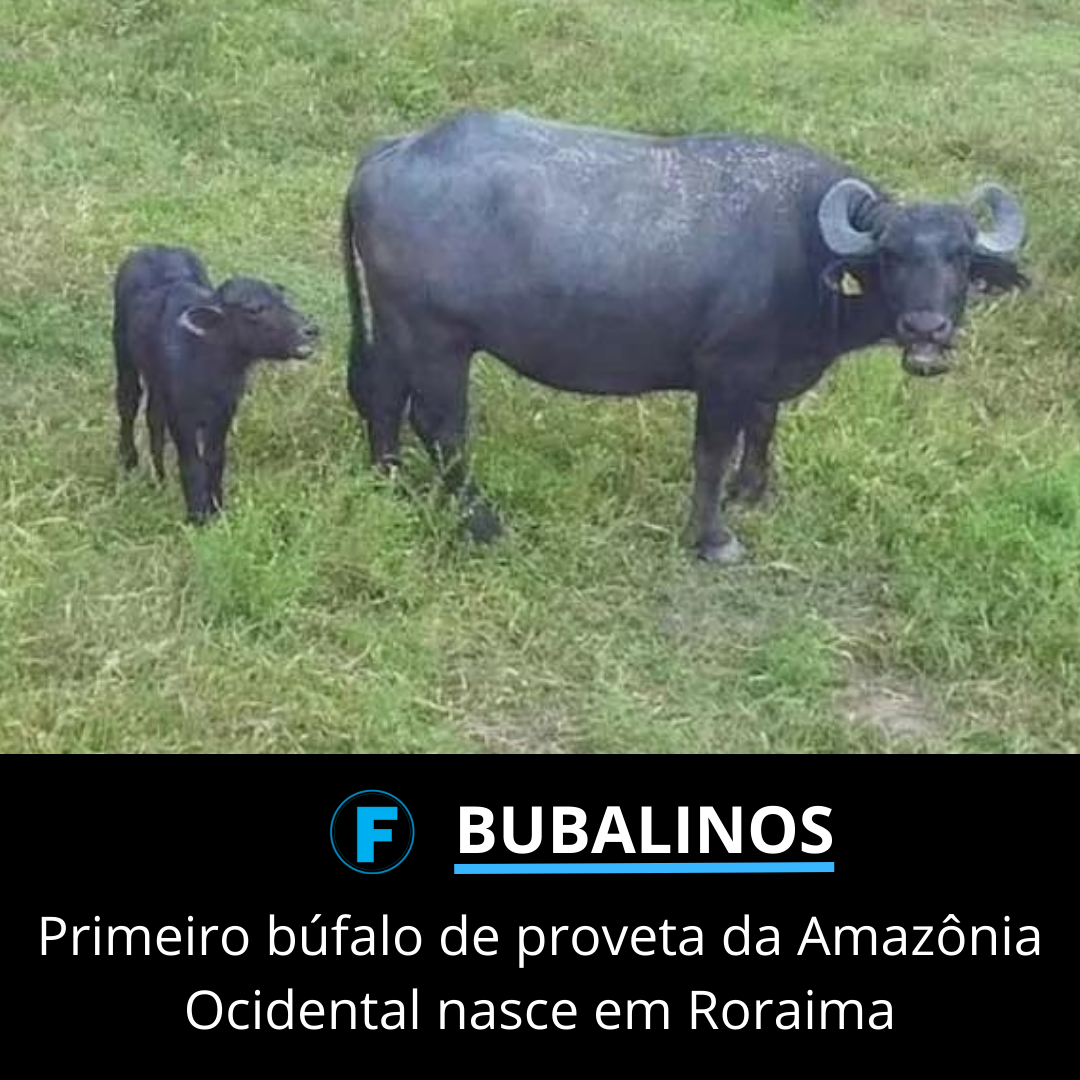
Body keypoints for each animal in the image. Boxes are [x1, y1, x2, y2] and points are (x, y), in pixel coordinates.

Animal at [341, 110, 1027, 560]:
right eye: (891, 255)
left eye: (960, 257)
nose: (926, 328)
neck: (807, 251)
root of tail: (392, 151)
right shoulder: (724, 374)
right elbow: (711, 454)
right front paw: (714, 537)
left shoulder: (764, 375)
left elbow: (763, 426)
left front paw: (754, 491)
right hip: (438, 338)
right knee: (441, 425)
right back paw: (482, 522)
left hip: (395, 326)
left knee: (383, 394)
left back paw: (388, 480)